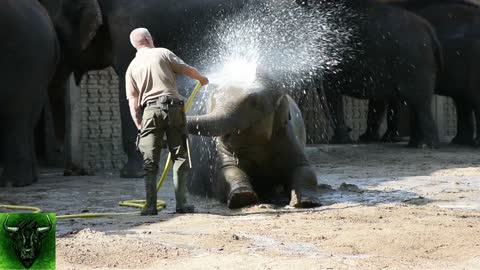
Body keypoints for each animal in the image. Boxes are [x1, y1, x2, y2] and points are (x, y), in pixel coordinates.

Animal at [186, 74, 320, 209]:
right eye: (211, 102)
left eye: (254, 102)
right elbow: (228, 169)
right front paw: (242, 198)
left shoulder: (287, 134)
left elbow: (304, 169)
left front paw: (306, 202)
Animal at [304, 0, 442, 148]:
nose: (350, 128)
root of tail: (429, 30)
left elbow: (332, 90)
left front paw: (340, 141)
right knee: (414, 102)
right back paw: (414, 144)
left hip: (414, 62)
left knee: (418, 102)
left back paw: (426, 145)